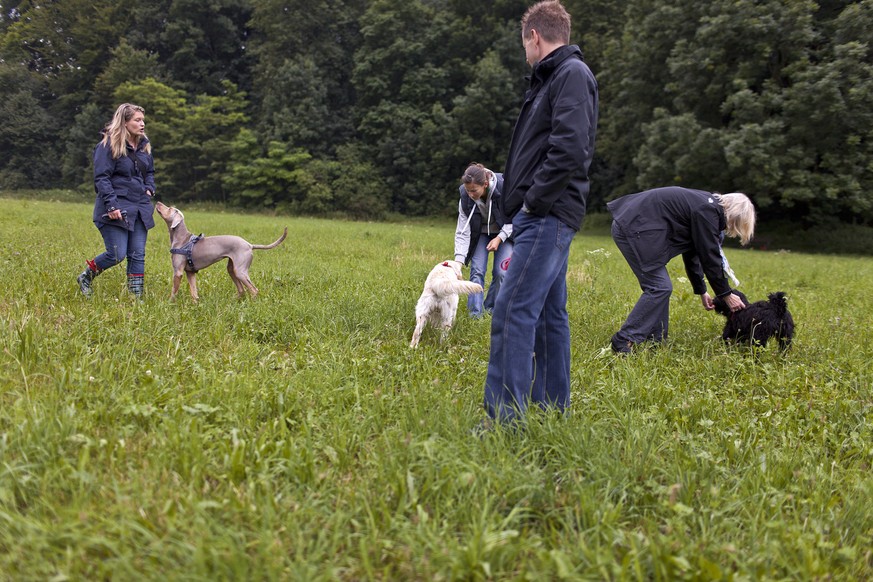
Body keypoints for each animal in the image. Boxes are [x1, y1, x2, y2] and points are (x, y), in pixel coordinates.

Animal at [152, 202, 284, 304]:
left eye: (169, 208)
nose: (157, 202)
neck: (183, 239)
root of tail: (249, 245)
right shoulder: (190, 273)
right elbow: (194, 292)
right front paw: (195, 306)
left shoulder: (178, 272)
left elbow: (174, 290)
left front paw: (169, 303)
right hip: (232, 269)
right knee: (242, 290)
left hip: (240, 271)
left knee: (254, 290)